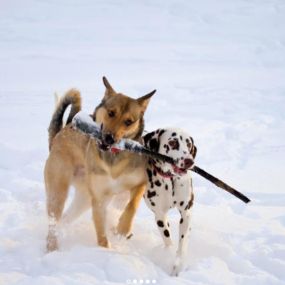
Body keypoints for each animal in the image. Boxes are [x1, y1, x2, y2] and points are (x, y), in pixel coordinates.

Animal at [43, 76, 155, 250]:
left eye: (129, 121)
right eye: (111, 113)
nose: (109, 138)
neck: (113, 156)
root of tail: (58, 135)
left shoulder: (140, 183)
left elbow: (132, 205)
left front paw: (122, 229)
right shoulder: (100, 199)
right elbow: (101, 234)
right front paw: (105, 250)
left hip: (84, 198)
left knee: (66, 218)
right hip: (58, 190)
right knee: (54, 221)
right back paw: (52, 247)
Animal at [141, 127, 195, 274]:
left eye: (189, 144)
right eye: (172, 143)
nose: (189, 161)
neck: (170, 181)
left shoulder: (186, 213)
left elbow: (182, 243)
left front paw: (178, 265)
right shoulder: (160, 215)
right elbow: (168, 239)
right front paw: (168, 257)